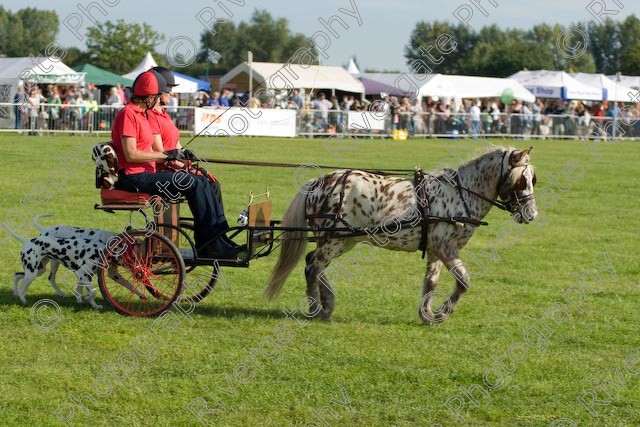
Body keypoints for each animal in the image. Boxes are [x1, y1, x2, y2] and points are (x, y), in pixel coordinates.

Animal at [266, 147, 540, 324]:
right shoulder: (446, 247)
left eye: (532, 179)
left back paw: (326, 305)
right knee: (313, 266)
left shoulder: (436, 249)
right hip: (335, 239)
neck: (460, 194)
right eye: (521, 181)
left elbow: (431, 282)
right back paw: (316, 308)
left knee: (316, 265)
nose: (532, 214)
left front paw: (428, 314)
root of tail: (318, 183)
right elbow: (464, 281)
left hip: (344, 240)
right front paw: (443, 312)